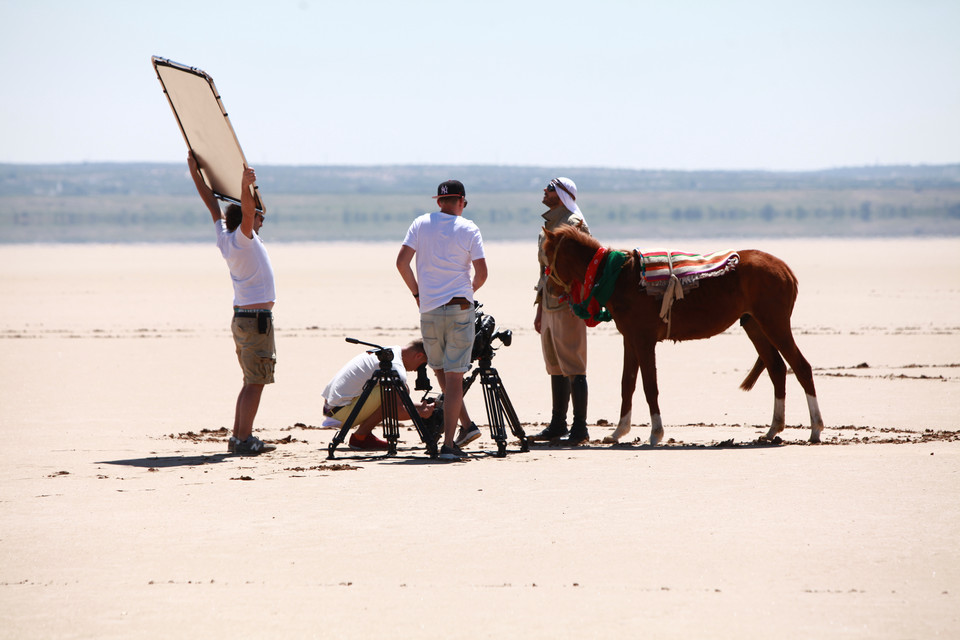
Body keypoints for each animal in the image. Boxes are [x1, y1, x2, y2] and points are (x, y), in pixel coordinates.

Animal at [544, 226, 820, 444]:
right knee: (777, 369)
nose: (549, 291)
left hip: (775, 324)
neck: (620, 278)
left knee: (801, 367)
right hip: (755, 326)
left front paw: (656, 432)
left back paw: (815, 429)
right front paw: (618, 431)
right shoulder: (630, 340)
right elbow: (627, 384)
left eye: (546, 255)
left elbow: (649, 385)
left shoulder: (644, 341)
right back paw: (773, 430)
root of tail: (785, 269)